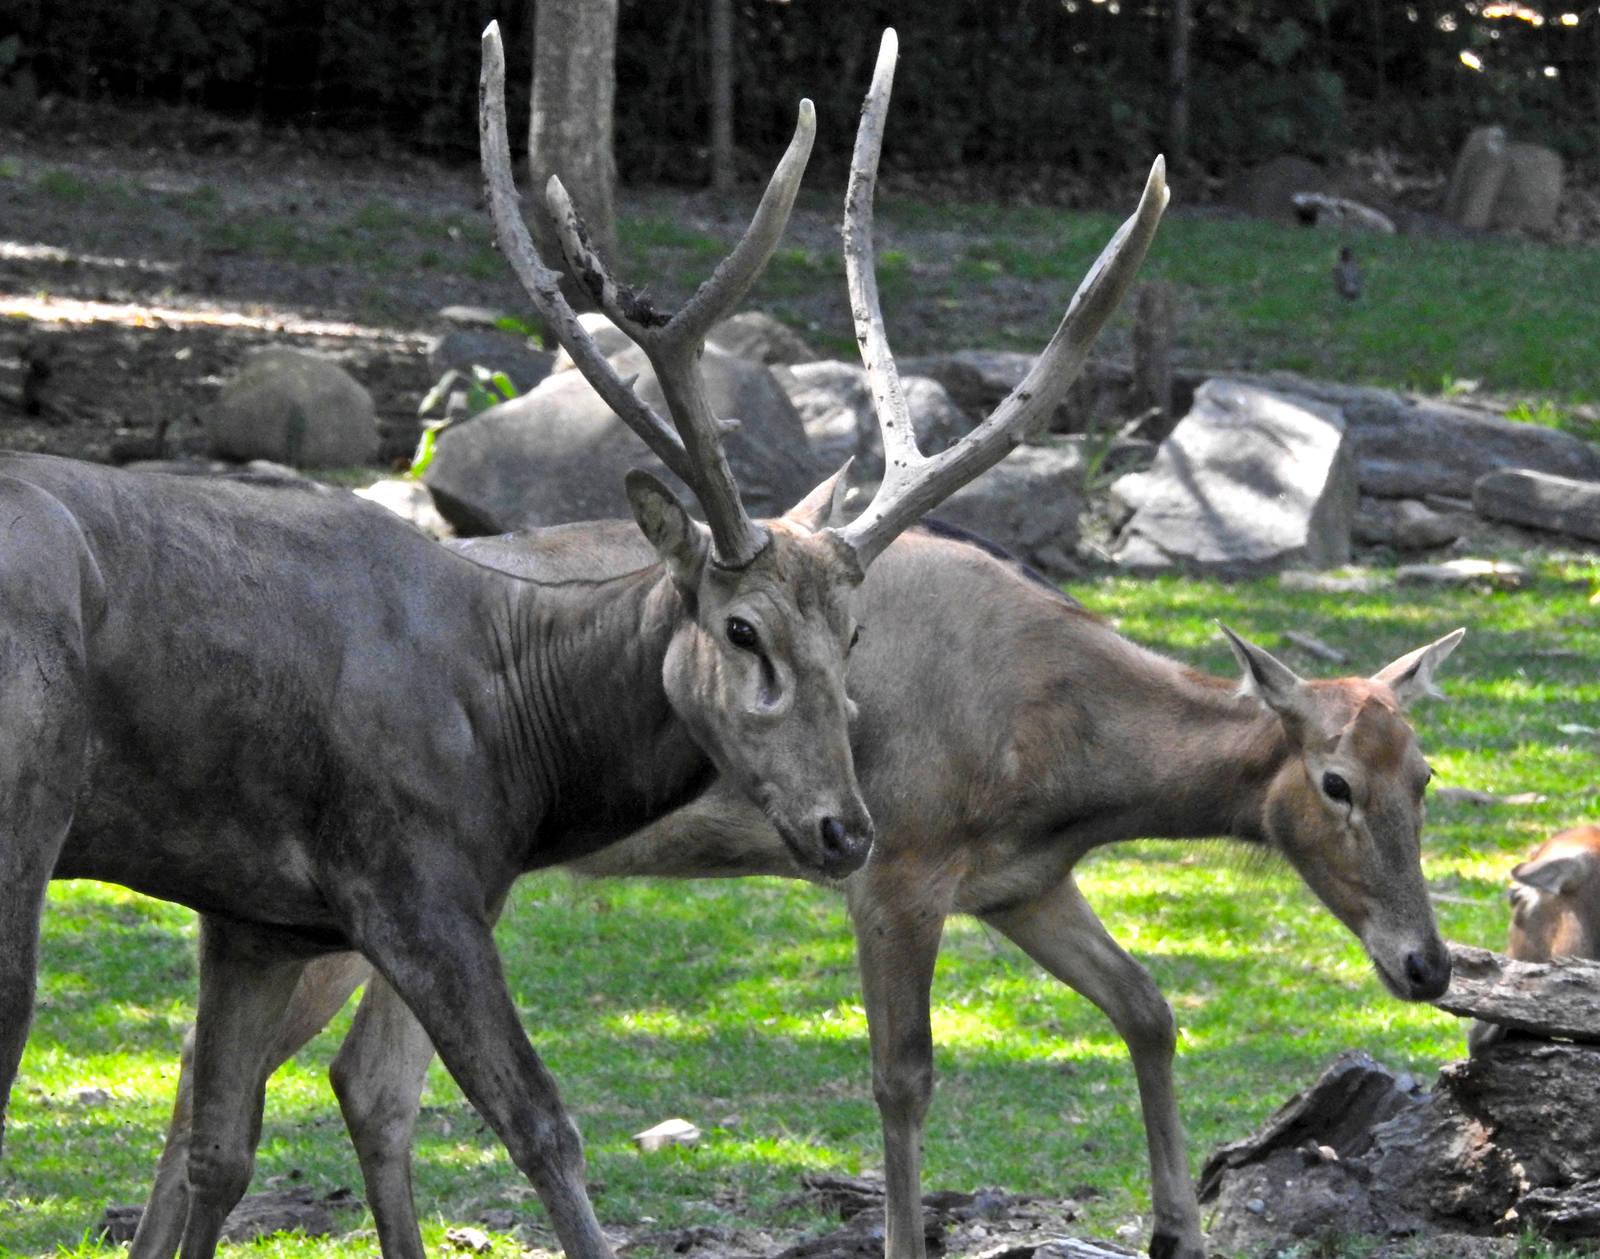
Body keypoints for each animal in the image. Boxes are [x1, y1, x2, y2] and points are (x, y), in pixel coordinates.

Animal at [1, 25, 1166, 1259]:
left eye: (854, 632)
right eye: (741, 627)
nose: (846, 828)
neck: (516, 735)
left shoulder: (256, 916)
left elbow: (218, 1148)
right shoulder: (413, 881)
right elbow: (541, 1125)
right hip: (27, 813)